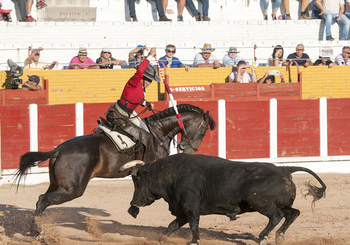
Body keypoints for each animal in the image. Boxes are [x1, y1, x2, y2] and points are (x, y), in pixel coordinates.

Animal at [13, 103, 216, 237]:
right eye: (203, 131)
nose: (188, 150)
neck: (159, 132)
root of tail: (58, 150)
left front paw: (134, 207)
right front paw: (136, 208)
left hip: (57, 185)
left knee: (42, 201)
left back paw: (36, 230)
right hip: (73, 189)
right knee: (42, 200)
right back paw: (36, 232)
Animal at [121, 153, 326, 245]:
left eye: (137, 179)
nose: (133, 203)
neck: (171, 175)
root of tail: (284, 169)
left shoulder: (190, 208)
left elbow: (194, 225)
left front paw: (194, 241)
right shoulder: (182, 211)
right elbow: (172, 226)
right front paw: (162, 239)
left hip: (262, 204)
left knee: (276, 217)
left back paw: (262, 237)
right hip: (282, 205)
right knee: (292, 214)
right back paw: (279, 236)